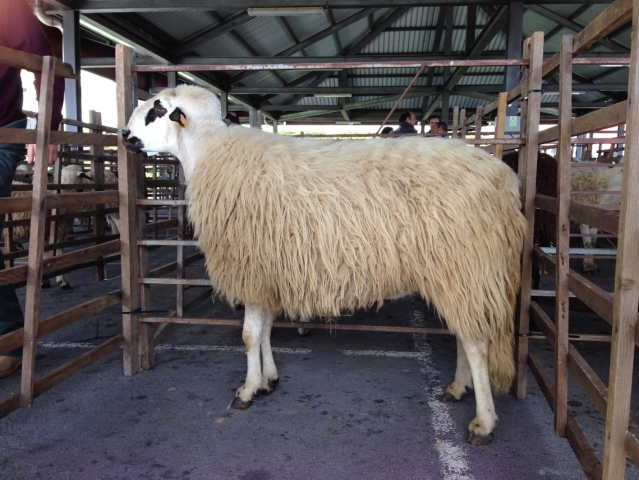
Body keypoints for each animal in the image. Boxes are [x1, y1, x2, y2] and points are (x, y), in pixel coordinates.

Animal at [122, 84, 528, 444]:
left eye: (158, 109)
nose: (124, 135)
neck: (209, 154)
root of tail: (504, 179)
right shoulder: (268, 273)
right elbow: (265, 331)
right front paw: (269, 380)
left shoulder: (252, 269)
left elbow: (250, 335)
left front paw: (247, 390)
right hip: (458, 273)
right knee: (465, 333)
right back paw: (457, 388)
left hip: (463, 264)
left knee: (476, 342)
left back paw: (483, 422)